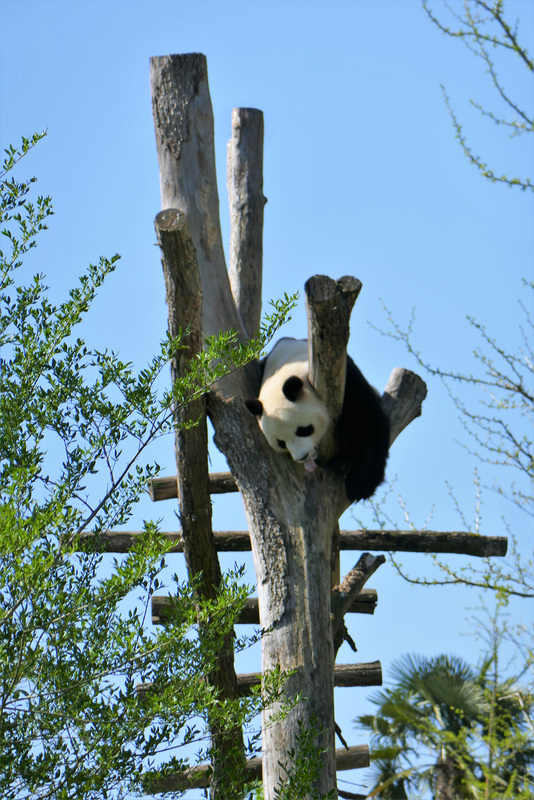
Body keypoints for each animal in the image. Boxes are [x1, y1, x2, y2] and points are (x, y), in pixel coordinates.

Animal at [246, 340, 390, 504]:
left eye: (303, 430)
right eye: (281, 443)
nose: (302, 457)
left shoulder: (348, 381)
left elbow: (369, 422)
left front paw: (359, 486)